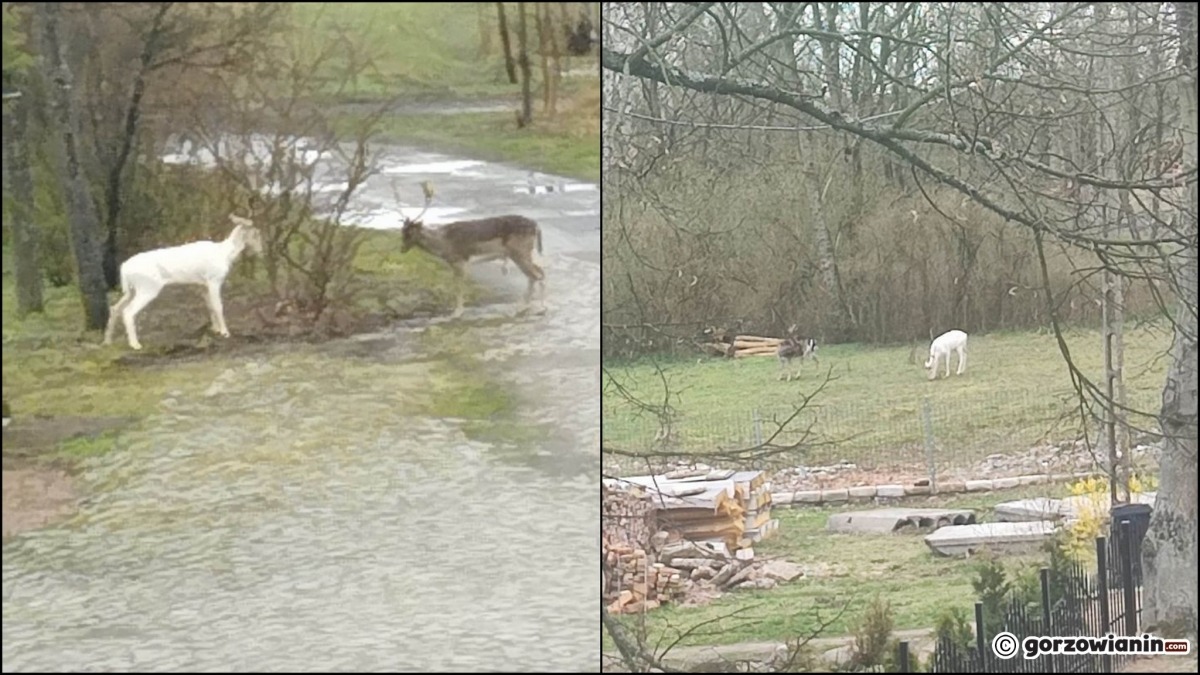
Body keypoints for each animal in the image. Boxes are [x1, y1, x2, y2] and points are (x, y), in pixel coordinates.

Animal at [103, 212, 265, 348]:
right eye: (256, 233)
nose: (260, 251)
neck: (225, 254)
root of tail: (124, 268)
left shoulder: (203, 285)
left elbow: (210, 306)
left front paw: (215, 330)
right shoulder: (214, 279)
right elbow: (218, 306)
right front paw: (225, 333)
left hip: (131, 290)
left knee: (115, 308)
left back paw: (108, 341)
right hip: (148, 287)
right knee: (128, 311)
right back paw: (135, 345)